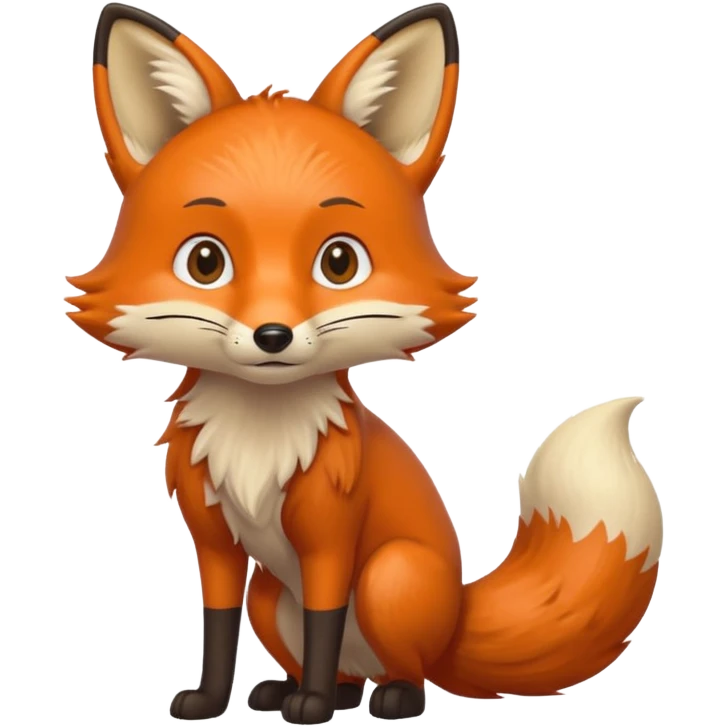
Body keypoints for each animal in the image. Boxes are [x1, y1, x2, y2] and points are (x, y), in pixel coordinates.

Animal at [69, 2, 664, 723]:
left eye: (339, 262)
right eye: (205, 261)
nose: (272, 335)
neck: (258, 440)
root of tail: (458, 618)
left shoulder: (331, 536)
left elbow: (324, 618)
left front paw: (315, 706)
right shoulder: (214, 541)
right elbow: (217, 623)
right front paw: (211, 699)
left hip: (389, 576)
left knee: (402, 667)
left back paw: (383, 695)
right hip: (273, 595)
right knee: (333, 658)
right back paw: (299, 688)